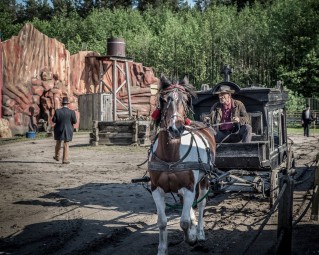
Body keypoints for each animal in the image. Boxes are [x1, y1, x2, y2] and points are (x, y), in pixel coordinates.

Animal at [149, 74, 216, 254]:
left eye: (185, 100)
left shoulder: (189, 187)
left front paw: (191, 238)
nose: (175, 129)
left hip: (204, 180)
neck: (170, 157)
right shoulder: (156, 189)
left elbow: (184, 221)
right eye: (164, 99)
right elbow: (162, 222)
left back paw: (199, 232)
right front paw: (162, 249)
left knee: (201, 204)